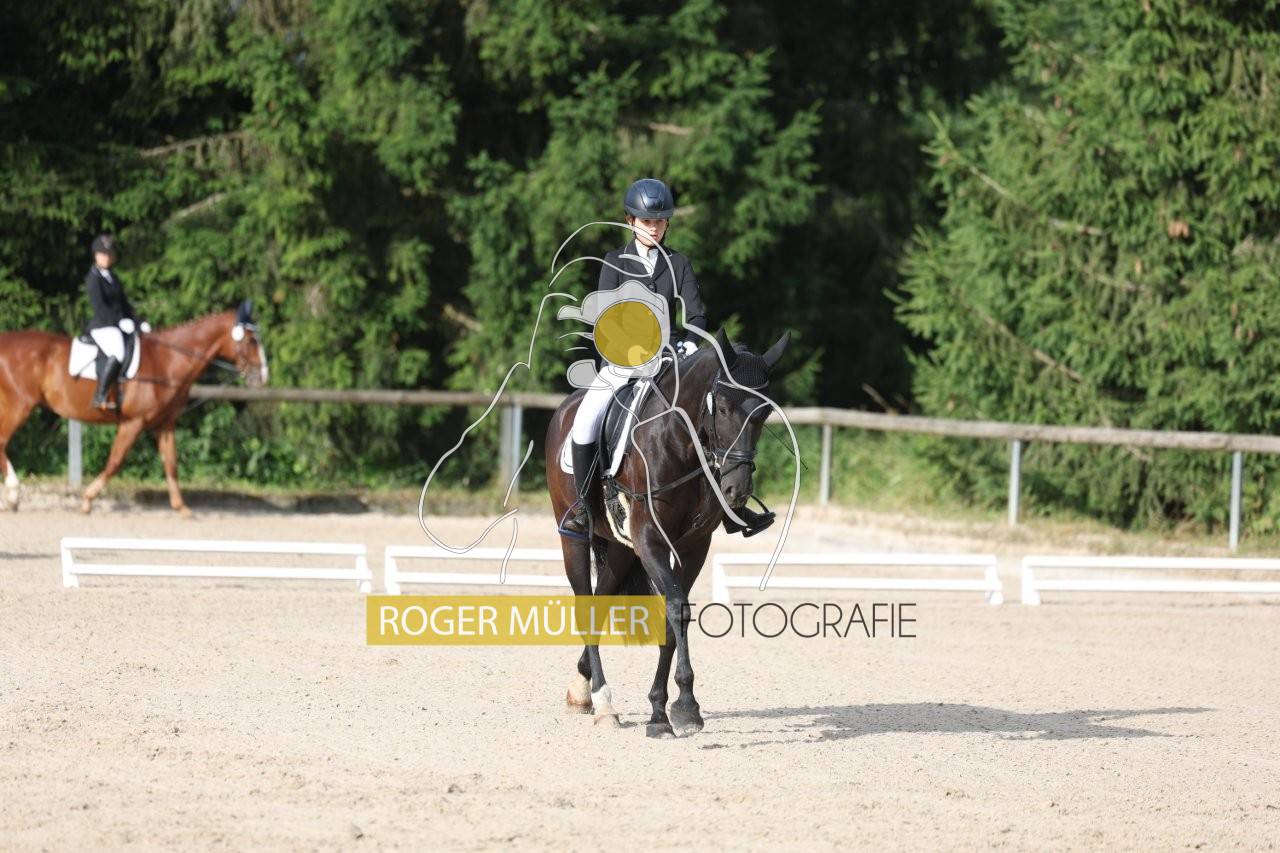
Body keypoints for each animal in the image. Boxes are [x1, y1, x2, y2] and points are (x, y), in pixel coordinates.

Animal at [0, 301, 268, 516]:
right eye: (250, 340)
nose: (263, 376)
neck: (167, 361)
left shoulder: (164, 424)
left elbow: (171, 463)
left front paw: (181, 507)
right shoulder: (134, 422)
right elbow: (115, 461)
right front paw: (87, 500)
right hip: (18, 405)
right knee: (2, 441)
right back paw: (13, 495)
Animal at [545, 329, 789, 737]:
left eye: (764, 412)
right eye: (723, 407)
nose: (736, 490)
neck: (681, 442)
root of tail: (566, 407)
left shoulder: (693, 546)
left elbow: (675, 619)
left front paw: (661, 711)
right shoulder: (651, 540)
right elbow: (676, 608)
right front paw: (686, 707)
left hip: (622, 549)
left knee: (601, 600)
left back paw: (583, 689)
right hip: (573, 539)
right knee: (585, 604)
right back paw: (603, 703)